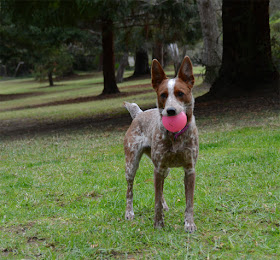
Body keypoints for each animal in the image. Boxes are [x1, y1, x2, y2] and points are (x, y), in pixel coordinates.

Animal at [123, 56, 198, 232]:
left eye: (180, 93)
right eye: (163, 95)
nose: (170, 111)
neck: (176, 136)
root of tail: (140, 113)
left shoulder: (190, 169)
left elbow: (189, 202)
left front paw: (189, 224)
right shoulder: (158, 168)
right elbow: (155, 200)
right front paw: (158, 224)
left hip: (166, 169)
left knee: (161, 189)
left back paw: (165, 206)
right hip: (131, 165)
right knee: (130, 190)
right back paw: (129, 212)